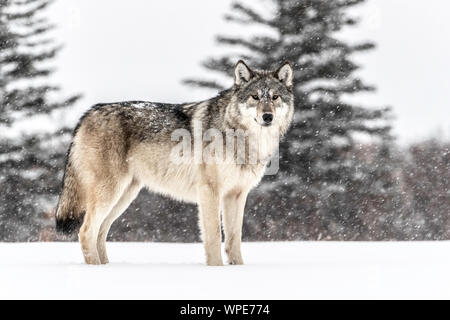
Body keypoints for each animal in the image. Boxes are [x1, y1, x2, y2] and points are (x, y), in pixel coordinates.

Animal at [55, 60, 296, 264]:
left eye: (275, 97)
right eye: (255, 97)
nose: (267, 117)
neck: (241, 137)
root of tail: (88, 113)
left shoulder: (236, 194)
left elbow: (234, 239)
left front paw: (238, 269)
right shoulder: (210, 192)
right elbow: (213, 238)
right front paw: (217, 269)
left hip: (125, 196)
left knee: (100, 232)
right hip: (110, 193)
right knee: (86, 231)